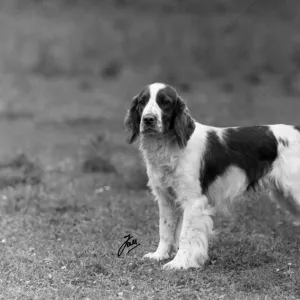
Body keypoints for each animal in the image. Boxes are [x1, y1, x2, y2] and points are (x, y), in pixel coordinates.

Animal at [123, 83, 298, 270]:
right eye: (142, 101)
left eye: (165, 102)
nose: (148, 119)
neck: (170, 147)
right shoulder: (166, 199)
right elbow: (165, 229)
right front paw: (159, 255)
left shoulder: (193, 201)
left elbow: (185, 235)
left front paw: (179, 263)